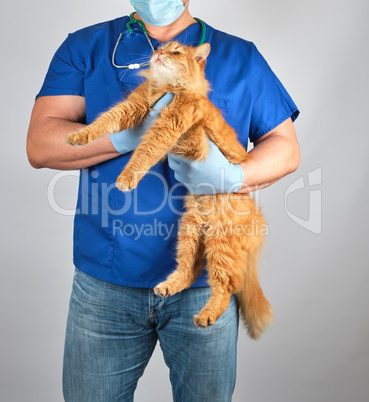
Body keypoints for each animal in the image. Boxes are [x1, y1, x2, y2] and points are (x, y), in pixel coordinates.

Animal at [67, 41, 274, 340]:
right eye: (162, 47)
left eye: (176, 52)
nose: (159, 53)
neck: (165, 88)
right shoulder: (134, 106)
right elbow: (103, 122)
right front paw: (79, 137)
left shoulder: (167, 124)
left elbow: (143, 153)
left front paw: (125, 178)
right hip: (189, 233)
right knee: (189, 271)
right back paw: (168, 286)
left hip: (220, 243)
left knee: (225, 286)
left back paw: (206, 315)